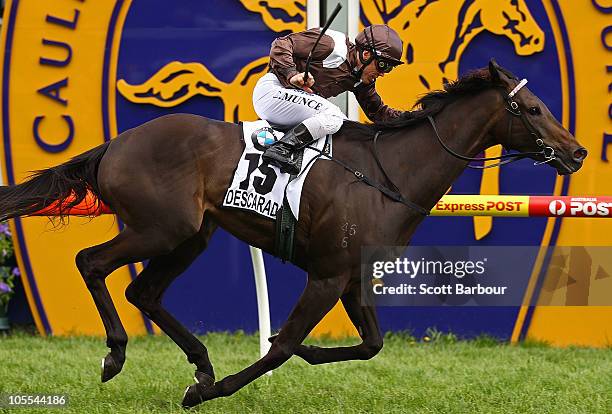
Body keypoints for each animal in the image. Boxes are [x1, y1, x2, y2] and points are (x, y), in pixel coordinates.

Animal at [0, 61, 584, 408]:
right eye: (533, 109)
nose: (576, 151)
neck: (389, 174)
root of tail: (116, 143)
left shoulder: (353, 278)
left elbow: (370, 345)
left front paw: (295, 355)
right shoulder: (326, 276)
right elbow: (281, 346)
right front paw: (219, 389)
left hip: (191, 235)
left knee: (143, 290)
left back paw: (202, 366)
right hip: (161, 227)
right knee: (91, 263)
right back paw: (119, 356)